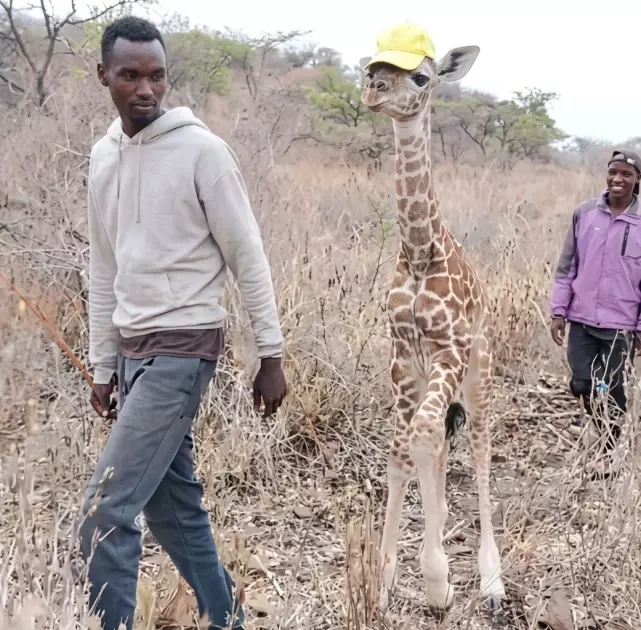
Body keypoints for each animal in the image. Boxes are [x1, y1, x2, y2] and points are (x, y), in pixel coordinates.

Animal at [358, 23, 506, 613]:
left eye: (421, 77)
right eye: (371, 68)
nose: (373, 89)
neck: (421, 253)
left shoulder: (449, 352)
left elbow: (422, 438)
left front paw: (438, 581)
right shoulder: (403, 359)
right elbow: (402, 451)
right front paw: (384, 579)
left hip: (481, 380)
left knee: (482, 454)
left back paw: (492, 580)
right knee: (442, 446)